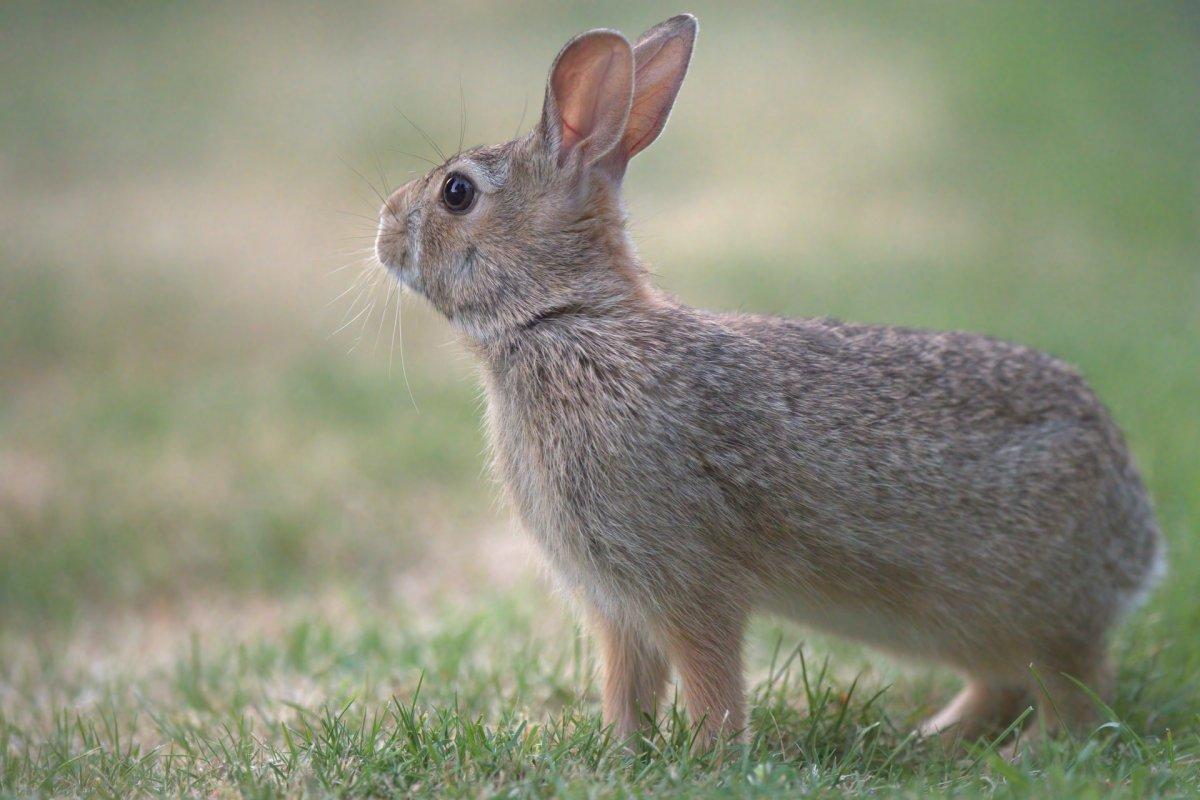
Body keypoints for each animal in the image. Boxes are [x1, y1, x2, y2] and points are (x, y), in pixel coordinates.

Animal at [372, 14, 1161, 753]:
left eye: (456, 193)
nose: (382, 229)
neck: (564, 320)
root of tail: (1138, 539)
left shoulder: (686, 579)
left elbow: (710, 677)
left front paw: (711, 757)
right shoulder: (617, 604)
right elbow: (629, 687)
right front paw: (623, 752)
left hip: (1026, 605)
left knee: (1076, 689)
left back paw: (1022, 752)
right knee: (1007, 683)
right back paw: (932, 736)